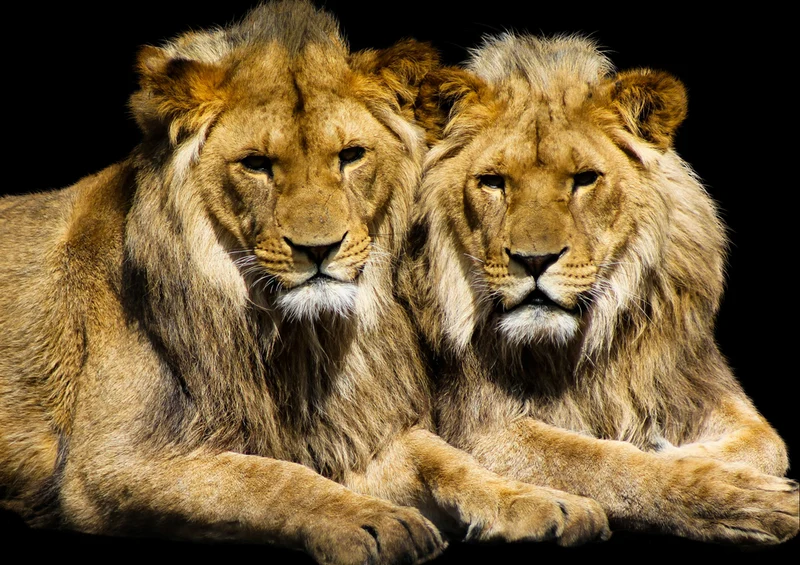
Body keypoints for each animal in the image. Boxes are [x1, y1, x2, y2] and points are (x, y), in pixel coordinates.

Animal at [0, 4, 614, 562]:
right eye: (256, 164)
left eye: (350, 156)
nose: (319, 250)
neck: (298, 339)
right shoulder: (107, 464)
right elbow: (266, 477)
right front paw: (373, 522)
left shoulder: (355, 432)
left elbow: (444, 457)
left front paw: (541, 500)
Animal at [403, 33, 799, 545]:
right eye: (492, 182)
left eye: (585, 179)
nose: (534, 260)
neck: (576, 347)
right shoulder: (479, 428)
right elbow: (599, 461)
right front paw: (737, 496)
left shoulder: (690, 380)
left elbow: (769, 443)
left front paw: (687, 454)